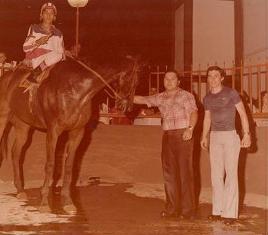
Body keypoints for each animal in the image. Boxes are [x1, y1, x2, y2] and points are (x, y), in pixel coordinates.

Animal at [0, 56, 139, 214]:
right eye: (133, 79)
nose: (126, 107)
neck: (76, 91)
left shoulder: (77, 132)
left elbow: (68, 166)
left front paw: (67, 202)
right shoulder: (53, 131)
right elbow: (50, 165)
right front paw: (44, 202)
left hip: (23, 127)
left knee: (16, 153)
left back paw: (20, 190)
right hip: (3, 119)